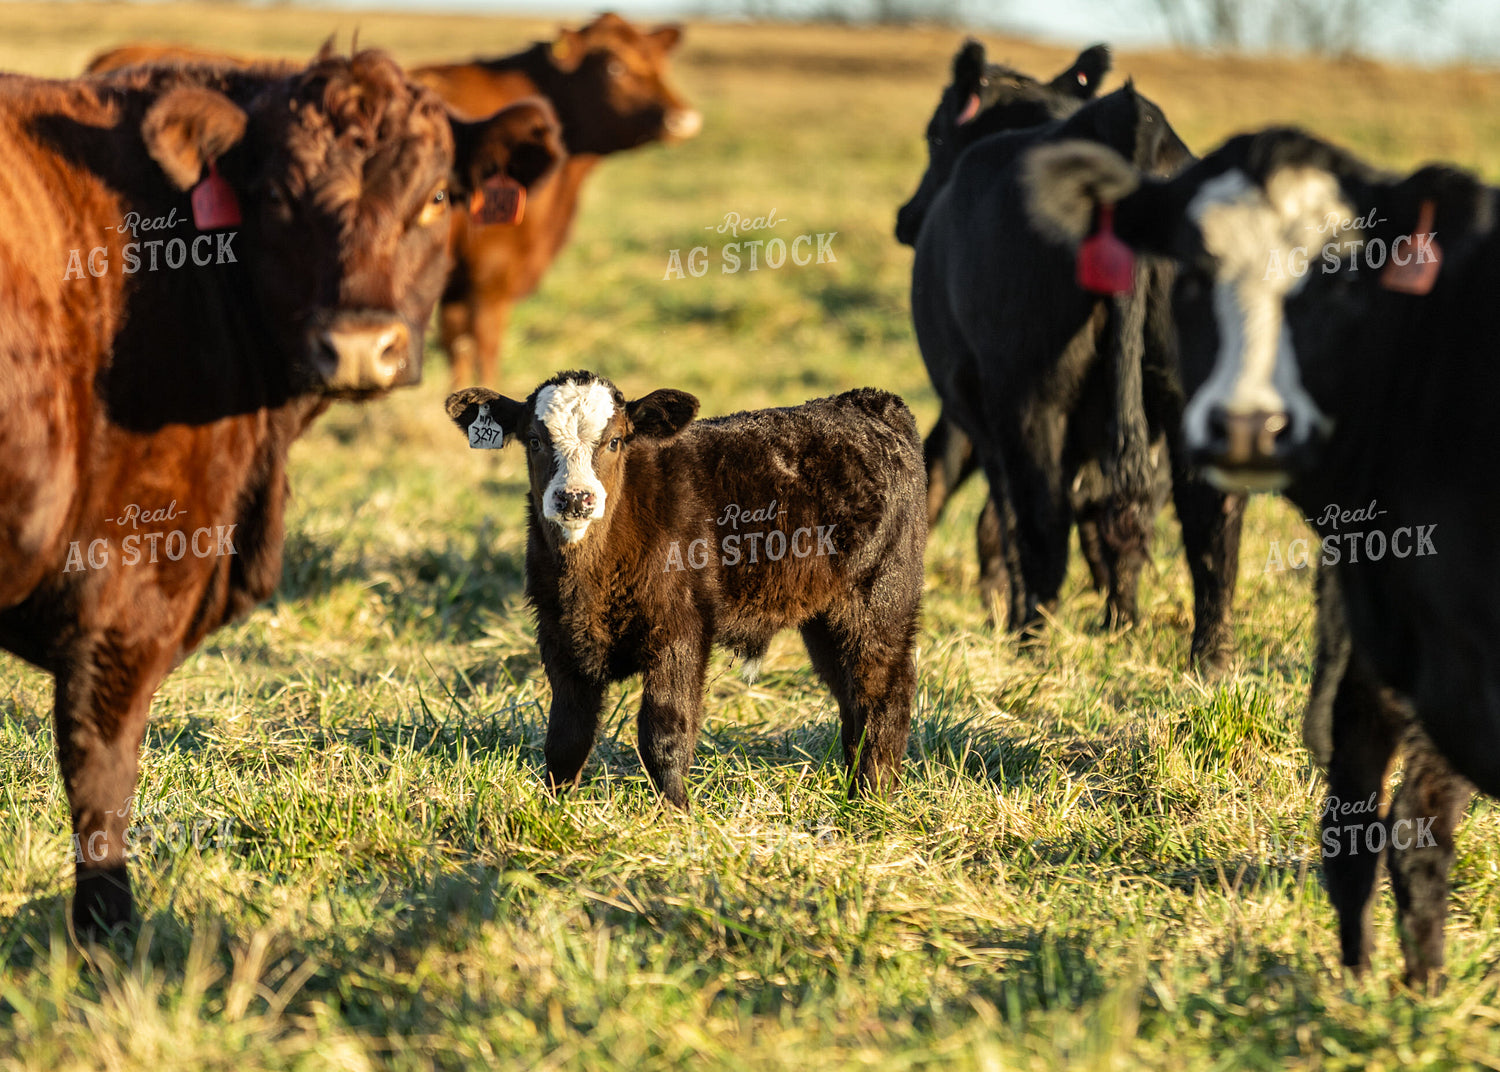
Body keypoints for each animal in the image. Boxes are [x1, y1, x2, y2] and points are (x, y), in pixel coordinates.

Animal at [0, 47, 561, 937]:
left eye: (437, 196)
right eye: (276, 199)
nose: (361, 345)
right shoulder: (129, 587)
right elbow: (101, 781)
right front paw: (110, 942)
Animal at [444, 372, 925, 807]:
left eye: (615, 441)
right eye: (534, 441)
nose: (575, 498)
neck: (590, 582)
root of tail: (870, 402)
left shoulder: (680, 629)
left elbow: (663, 733)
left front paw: (676, 814)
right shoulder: (559, 633)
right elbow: (566, 738)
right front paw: (556, 810)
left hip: (880, 598)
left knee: (883, 689)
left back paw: (873, 797)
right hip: (825, 616)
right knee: (848, 692)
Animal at [911, 82, 1244, 667]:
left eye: (935, 136)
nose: (906, 218)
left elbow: (1009, 520)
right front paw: (1122, 626)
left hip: (1031, 401)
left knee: (1041, 520)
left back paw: (1031, 641)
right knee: (1208, 518)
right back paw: (1211, 659)